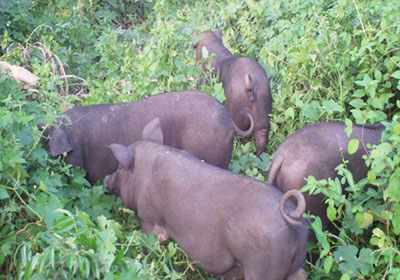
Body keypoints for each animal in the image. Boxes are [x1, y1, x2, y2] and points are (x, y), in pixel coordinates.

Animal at [104, 117, 308, 280]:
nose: (106, 180)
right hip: (294, 265)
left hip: (261, 267)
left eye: (120, 167)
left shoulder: (149, 219)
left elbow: (150, 245)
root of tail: (289, 216)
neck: (143, 172)